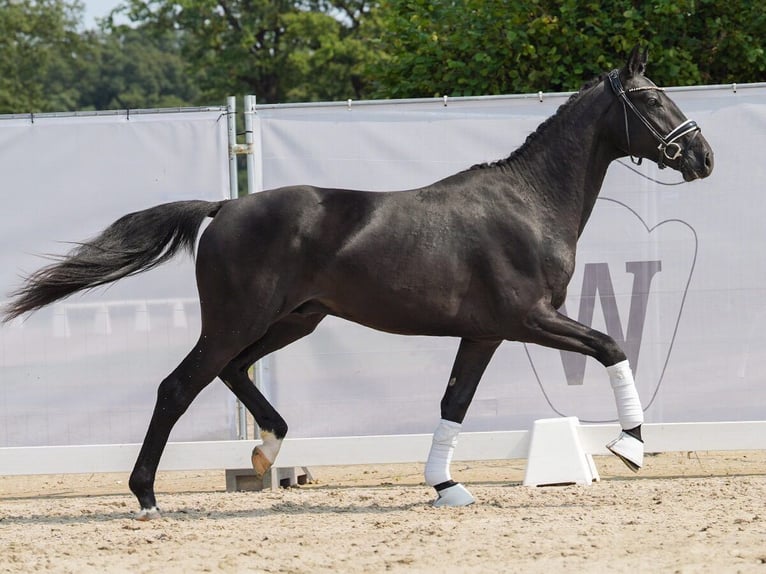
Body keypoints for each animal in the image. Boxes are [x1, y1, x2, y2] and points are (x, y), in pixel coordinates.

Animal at [4, 47, 712, 520]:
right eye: (649, 98)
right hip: (240, 319)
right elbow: (613, 346)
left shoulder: (484, 334)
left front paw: (447, 486)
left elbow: (454, 403)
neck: (529, 203)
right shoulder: (529, 319)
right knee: (178, 386)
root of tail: (224, 207)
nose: (704, 157)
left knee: (231, 371)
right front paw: (628, 447)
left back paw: (266, 453)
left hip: (294, 319)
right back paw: (149, 496)